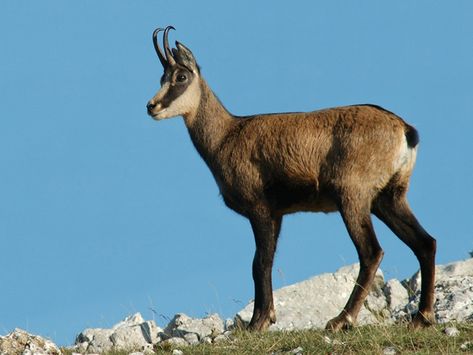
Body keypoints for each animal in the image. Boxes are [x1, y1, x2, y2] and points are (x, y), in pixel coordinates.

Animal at [147, 26, 436, 332]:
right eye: (162, 78)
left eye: (180, 77)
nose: (151, 106)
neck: (226, 136)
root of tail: (404, 129)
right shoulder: (277, 214)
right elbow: (265, 261)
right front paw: (266, 317)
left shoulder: (260, 209)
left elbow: (259, 263)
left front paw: (258, 322)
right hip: (389, 197)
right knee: (425, 243)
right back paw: (422, 316)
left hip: (352, 196)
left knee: (371, 251)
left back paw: (342, 319)